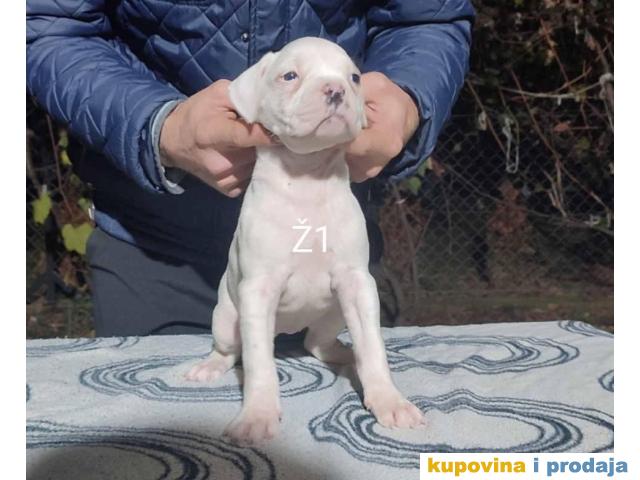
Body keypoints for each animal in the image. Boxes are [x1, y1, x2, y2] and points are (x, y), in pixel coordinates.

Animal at [186, 37, 424, 444]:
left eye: (354, 78)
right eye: (290, 76)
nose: (335, 90)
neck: (307, 177)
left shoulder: (358, 284)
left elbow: (373, 348)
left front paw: (389, 401)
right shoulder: (258, 291)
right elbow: (259, 363)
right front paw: (257, 415)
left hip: (333, 315)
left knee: (316, 342)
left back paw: (344, 353)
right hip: (227, 317)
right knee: (229, 350)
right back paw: (210, 367)